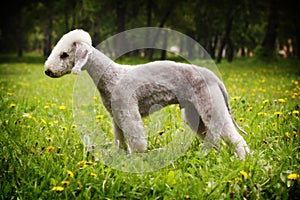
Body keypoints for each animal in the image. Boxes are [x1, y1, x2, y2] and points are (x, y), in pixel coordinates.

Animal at [44, 28, 250, 159]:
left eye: (64, 54)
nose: (47, 71)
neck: (110, 75)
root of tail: (213, 76)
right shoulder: (116, 116)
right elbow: (119, 139)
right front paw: (120, 157)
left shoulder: (128, 112)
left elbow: (136, 139)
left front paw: (137, 159)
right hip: (194, 114)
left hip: (210, 106)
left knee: (235, 138)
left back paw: (243, 159)